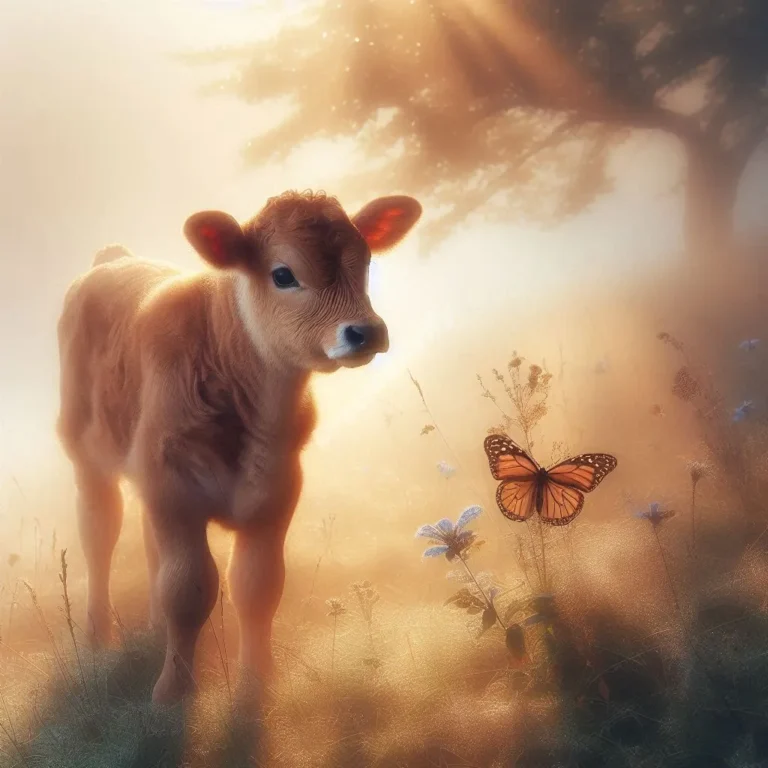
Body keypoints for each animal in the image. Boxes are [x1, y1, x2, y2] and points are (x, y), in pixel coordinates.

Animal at [56, 190, 422, 704]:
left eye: (366, 260)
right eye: (283, 273)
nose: (365, 331)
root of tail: (113, 258)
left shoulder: (275, 491)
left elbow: (258, 586)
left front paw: (258, 685)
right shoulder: (173, 486)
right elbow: (187, 589)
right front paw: (171, 692)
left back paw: (152, 628)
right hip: (87, 454)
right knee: (99, 534)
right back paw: (97, 637)